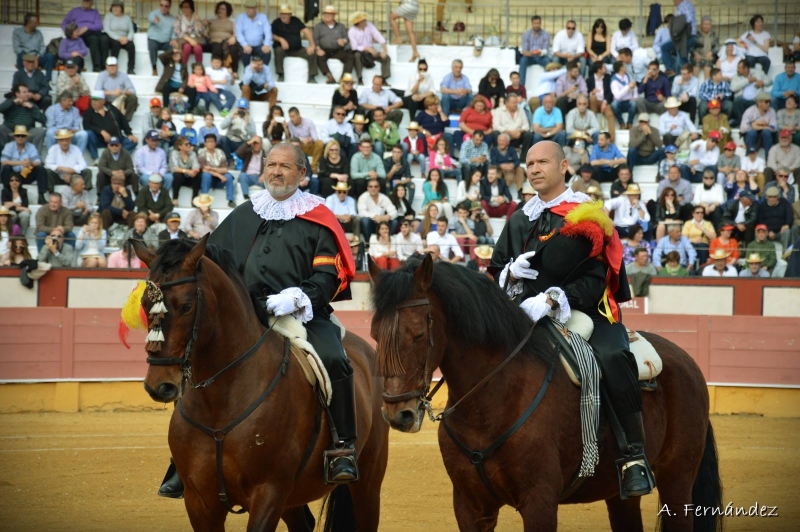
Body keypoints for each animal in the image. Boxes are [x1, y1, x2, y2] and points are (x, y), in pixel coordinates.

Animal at [130, 236, 389, 531]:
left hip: (367, 483)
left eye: (186, 306)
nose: (159, 385)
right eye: (144, 305)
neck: (219, 402)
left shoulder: (268, 493)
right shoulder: (199, 502)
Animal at [368, 255, 722, 532]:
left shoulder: (539, 501)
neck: (490, 403)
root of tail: (685, 360)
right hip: (619, 494)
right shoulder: (470, 506)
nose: (398, 414)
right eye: (374, 333)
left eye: (417, 334)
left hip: (677, 479)